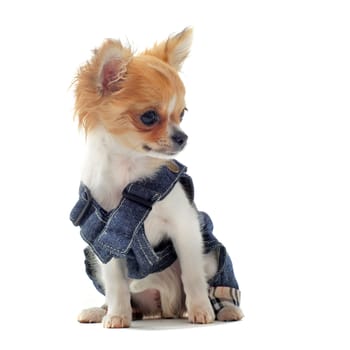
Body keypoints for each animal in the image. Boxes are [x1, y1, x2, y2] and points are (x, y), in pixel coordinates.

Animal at [69, 28, 242, 328]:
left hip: (213, 255)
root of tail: (165, 307)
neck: (129, 169)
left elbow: (192, 275)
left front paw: (201, 310)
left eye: (182, 113)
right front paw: (117, 316)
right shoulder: (102, 241)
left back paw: (225, 310)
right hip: (93, 262)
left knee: (216, 284)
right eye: (149, 117)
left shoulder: (186, 229)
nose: (183, 137)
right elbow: (116, 284)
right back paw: (103, 311)